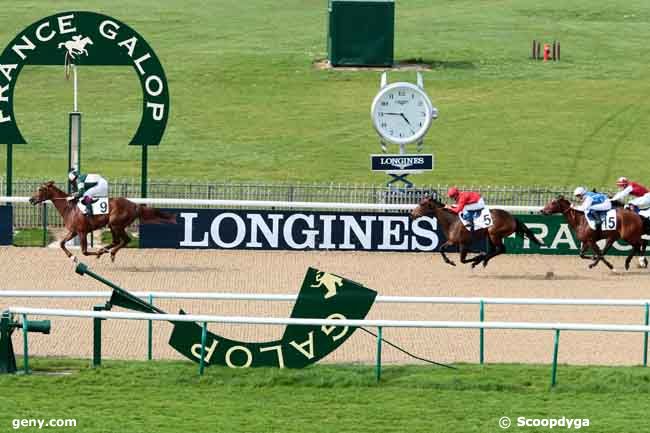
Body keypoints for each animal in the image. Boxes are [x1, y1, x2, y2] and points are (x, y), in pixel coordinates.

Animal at [29, 181, 176, 262]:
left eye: (40, 189)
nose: (31, 199)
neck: (69, 207)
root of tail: (134, 205)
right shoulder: (73, 231)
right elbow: (61, 243)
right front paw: (72, 256)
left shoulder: (82, 232)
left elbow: (84, 251)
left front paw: (97, 253)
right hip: (113, 226)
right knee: (117, 241)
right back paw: (106, 250)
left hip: (116, 224)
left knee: (125, 240)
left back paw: (109, 252)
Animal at [410, 193, 540, 266]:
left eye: (422, 204)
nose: (412, 214)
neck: (452, 221)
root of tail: (512, 217)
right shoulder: (455, 242)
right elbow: (441, 248)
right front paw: (450, 262)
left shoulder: (462, 243)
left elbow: (463, 260)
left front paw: (476, 258)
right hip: (490, 235)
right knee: (495, 250)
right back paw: (484, 261)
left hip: (494, 233)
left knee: (501, 249)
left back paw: (481, 261)